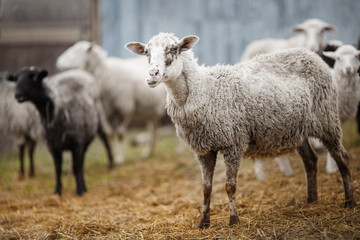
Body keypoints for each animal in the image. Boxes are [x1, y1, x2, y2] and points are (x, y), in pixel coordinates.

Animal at [7, 67, 104, 195]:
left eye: (34, 77)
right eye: (16, 79)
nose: (18, 95)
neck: (56, 109)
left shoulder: (77, 143)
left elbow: (76, 167)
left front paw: (79, 191)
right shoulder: (53, 146)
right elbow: (58, 168)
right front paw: (57, 191)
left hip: (85, 142)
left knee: (81, 165)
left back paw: (83, 187)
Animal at [125, 32, 356, 228]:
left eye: (173, 49)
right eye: (146, 52)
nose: (152, 75)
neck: (202, 89)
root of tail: (311, 55)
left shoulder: (233, 142)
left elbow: (230, 185)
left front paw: (234, 220)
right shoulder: (203, 149)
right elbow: (206, 188)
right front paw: (203, 223)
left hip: (327, 119)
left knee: (342, 158)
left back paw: (349, 201)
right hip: (297, 129)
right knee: (310, 160)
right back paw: (311, 200)